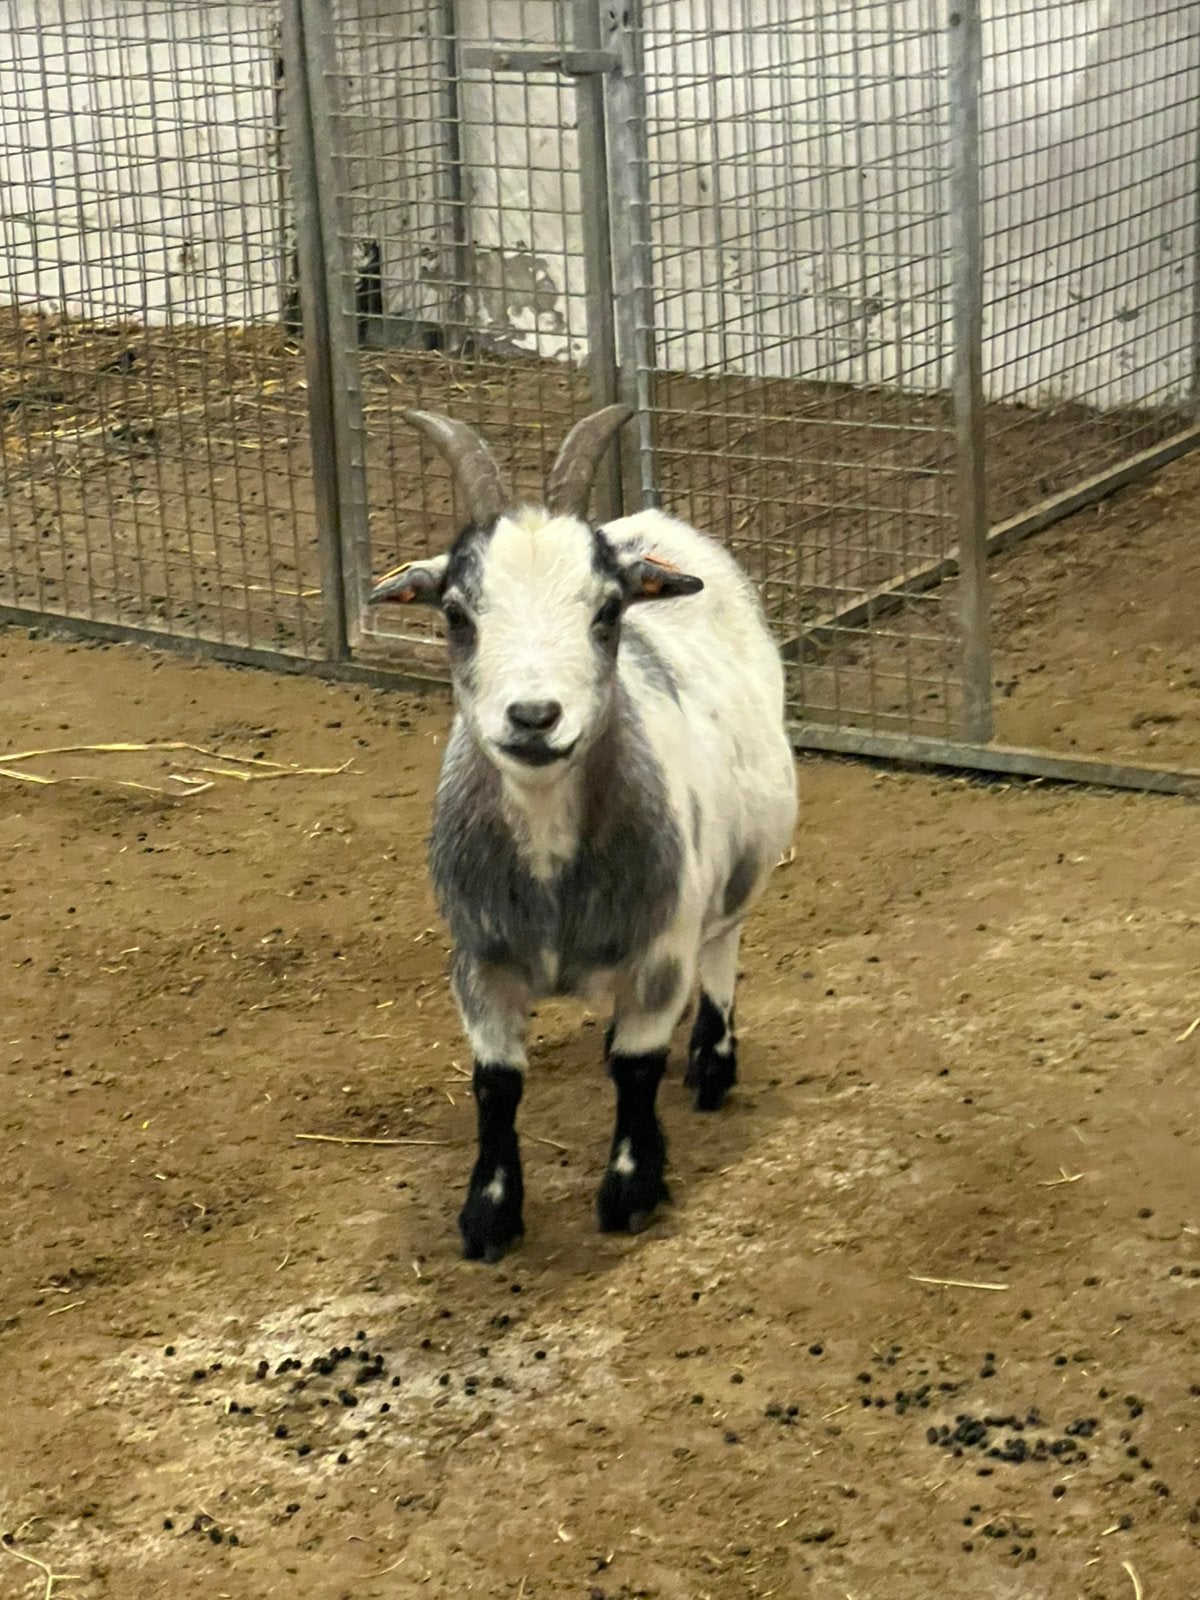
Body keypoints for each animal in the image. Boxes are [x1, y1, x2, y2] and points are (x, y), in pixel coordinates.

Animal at [370, 405, 797, 1261]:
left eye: (606, 612)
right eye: (457, 614)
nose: (534, 717)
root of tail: (653, 525)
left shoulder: (662, 949)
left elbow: (636, 1069)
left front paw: (632, 1189)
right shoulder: (478, 962)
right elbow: (495, 1085)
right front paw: (490, 1213)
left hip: (738, 865)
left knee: (724, 945)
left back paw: (712, 1061)